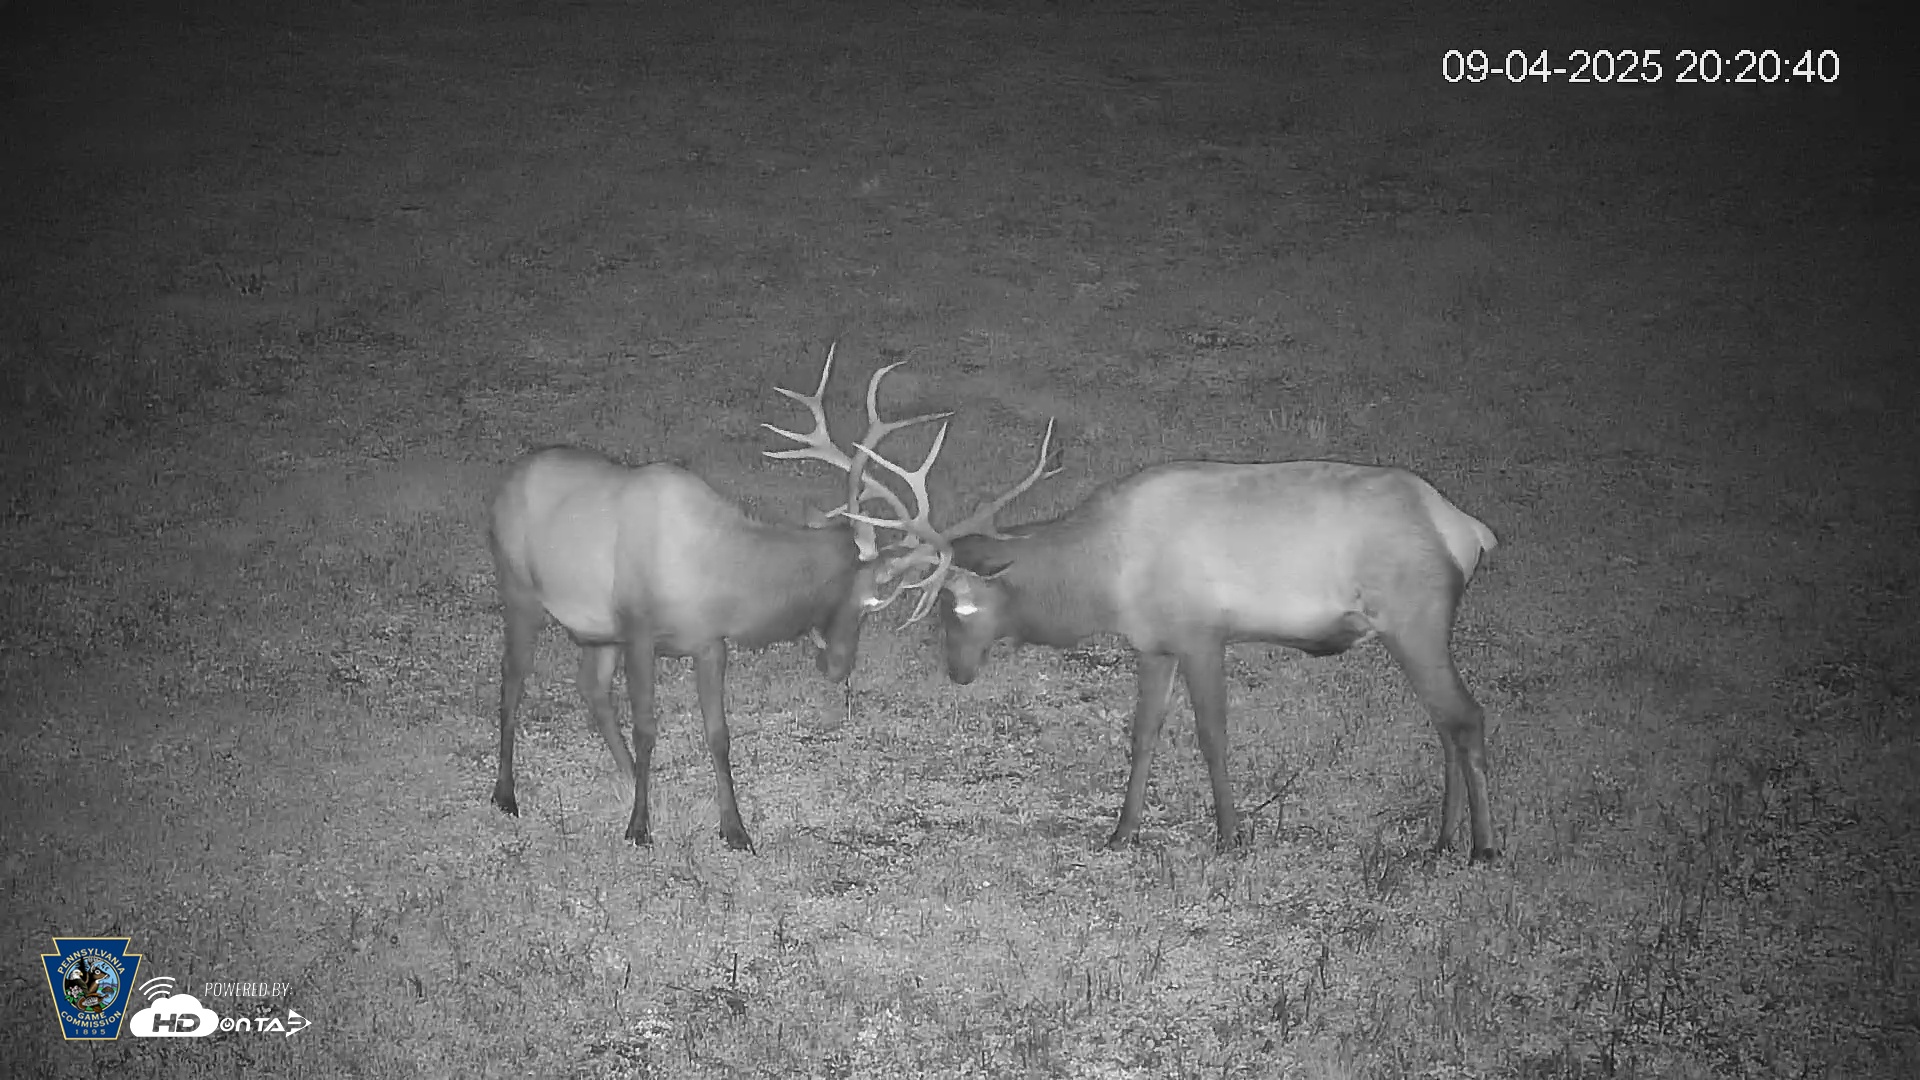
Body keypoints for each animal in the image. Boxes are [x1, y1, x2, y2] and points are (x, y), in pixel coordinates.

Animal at [486, 345, 955, 851]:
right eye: (872, 600)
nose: (838, 667)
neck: (725, 577)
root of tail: (504, 482)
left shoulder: (709, 642)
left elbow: (718, 733)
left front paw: (734, 829)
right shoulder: (639, 630)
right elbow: (647, 726)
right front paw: (639, 827)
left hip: (599, 631)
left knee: (590, 687)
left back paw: (629, 776)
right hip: (520, 591)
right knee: (513, 680)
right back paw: (505, 794)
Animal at [845, 420, 1500, 862]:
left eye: (954, 608)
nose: (956, 671)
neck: (1102, 578)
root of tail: (1469, 531)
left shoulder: (1201, 634)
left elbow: (1212, 736)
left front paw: (1231, 835)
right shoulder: (1154, 644)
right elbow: (1143, 735)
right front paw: (1121, 832)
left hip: (1415, 618)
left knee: (1466, 716)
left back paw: (1483, 847)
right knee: (1445, 723)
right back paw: (1442, 841)